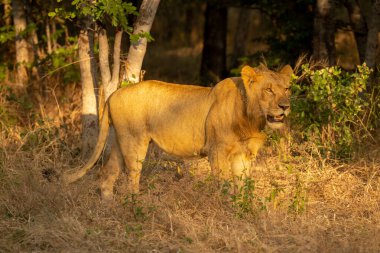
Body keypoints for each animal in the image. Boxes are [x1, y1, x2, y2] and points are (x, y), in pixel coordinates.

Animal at [63, 64, 292, 199]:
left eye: (286, 89)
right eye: (269, 90)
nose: (285, 106)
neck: (251, 118)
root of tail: (113, 94)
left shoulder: (244, 155)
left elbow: (243, 184)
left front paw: (242, 209)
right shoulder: (217, 151)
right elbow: (225, 183)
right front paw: (224, 206)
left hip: (122, 141)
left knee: (108, 172)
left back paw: (109, 203)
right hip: (135, 142)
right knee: (132, 176)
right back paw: (136, 204)